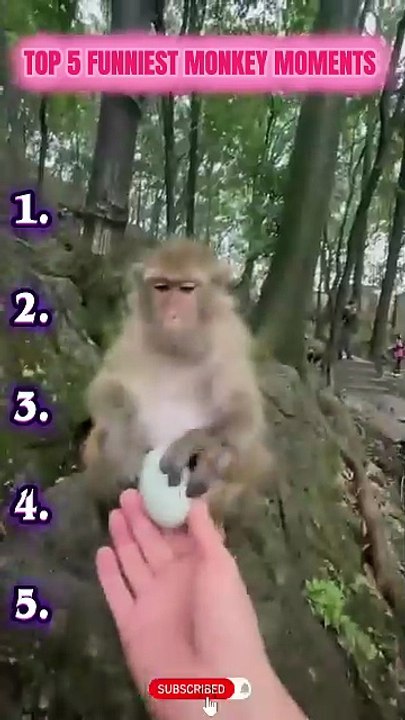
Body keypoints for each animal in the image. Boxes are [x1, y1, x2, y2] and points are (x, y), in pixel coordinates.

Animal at [83, 238, 272, 525]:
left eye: (186, 289)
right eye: (161, 287)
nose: (171, 315)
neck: (178, 350)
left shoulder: (228, 340)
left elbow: (243, 410)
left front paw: (202, 443)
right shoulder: (133, 334)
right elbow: (106, 386)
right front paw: (128, 439)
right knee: (99, 439)